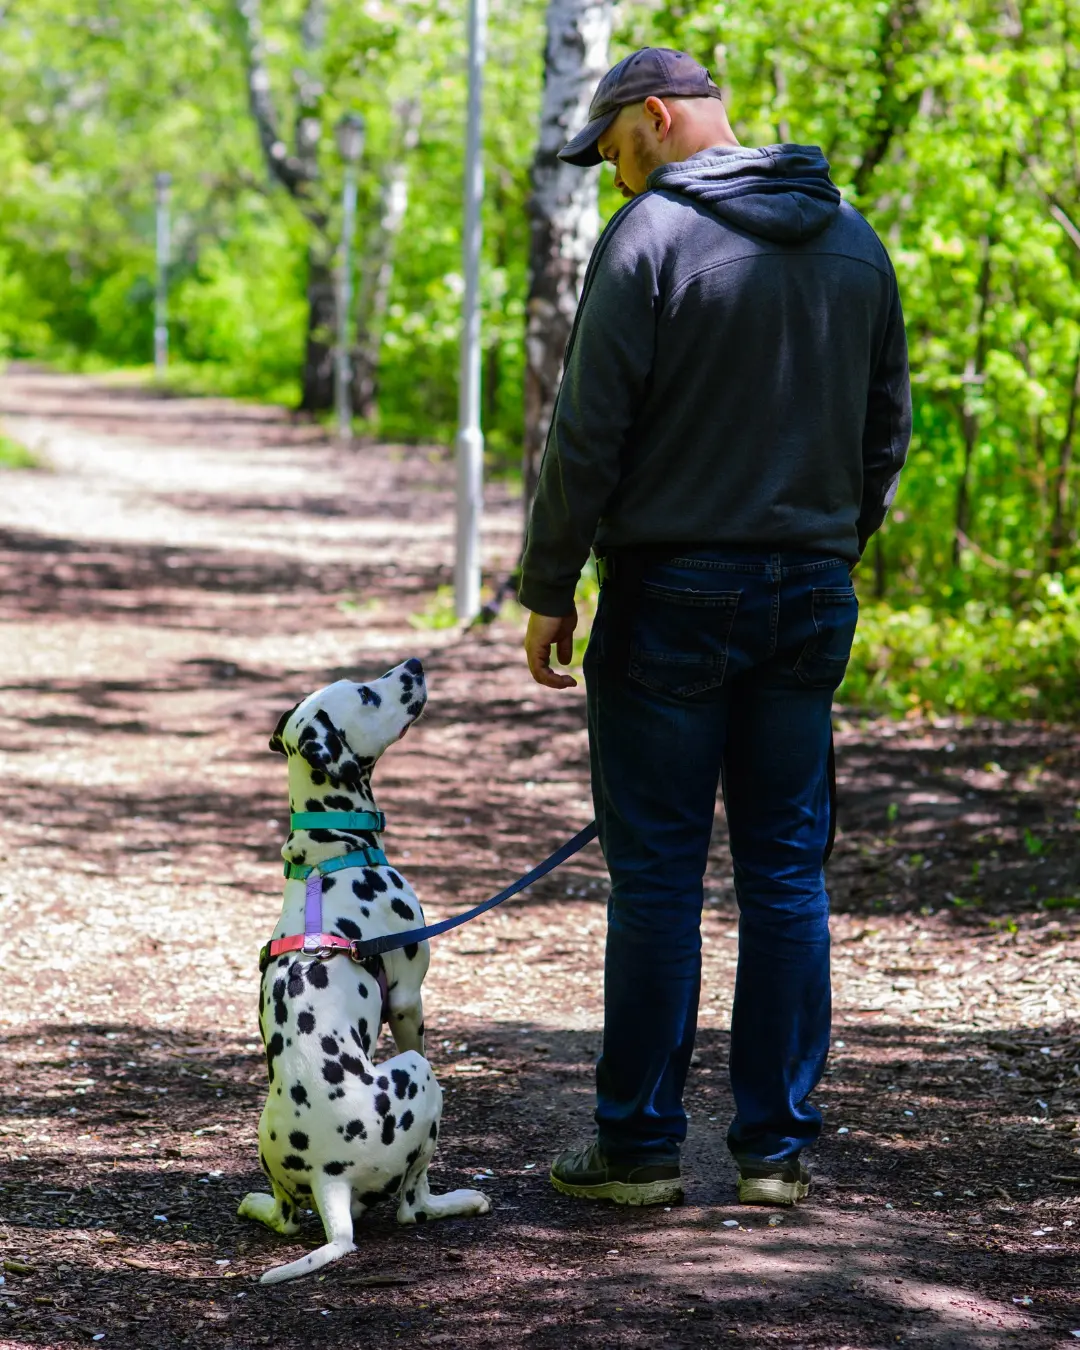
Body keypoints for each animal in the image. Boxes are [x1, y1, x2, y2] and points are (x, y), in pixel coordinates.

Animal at [240, 658, 488, 1279]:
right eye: (367, 694)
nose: (415, 664)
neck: (333, 850)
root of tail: (329, 1179)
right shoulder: (406, 998)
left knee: (283, 1216)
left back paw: (253, 1203)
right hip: (420, 1078)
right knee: (413, 1205)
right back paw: (460, 1199)